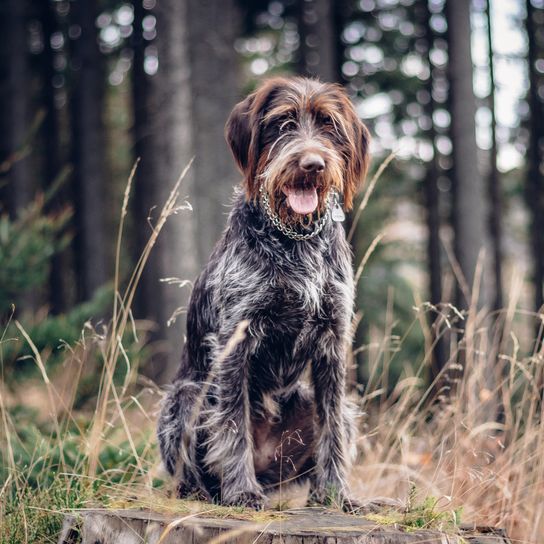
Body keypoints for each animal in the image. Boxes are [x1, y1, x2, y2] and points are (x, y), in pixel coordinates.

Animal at [157, 75, 370, 510]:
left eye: (328, 125)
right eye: (283, 123)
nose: (312, 164)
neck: (296, 239)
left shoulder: (332, 340)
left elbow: (330, 427)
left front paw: (337, 493)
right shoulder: (234, 340)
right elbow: (232, 423)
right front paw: (241, 491)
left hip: (319, 402)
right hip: (185, 397)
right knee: (194, 465)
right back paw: (206, 491)